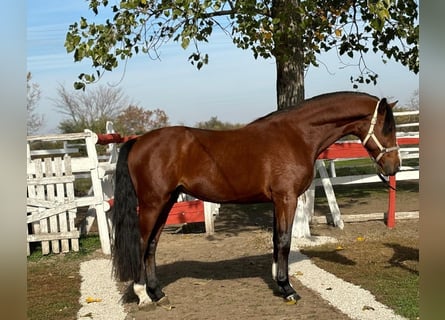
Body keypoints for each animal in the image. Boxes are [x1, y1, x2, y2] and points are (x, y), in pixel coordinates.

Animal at [110, 90, 398, 308]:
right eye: (386, 129)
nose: (394, 167)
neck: (296, 135)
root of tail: (138, 141)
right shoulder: (286, 198)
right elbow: (284, 240)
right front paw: (287, 288)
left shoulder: (277, 201)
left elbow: (276, 239)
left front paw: (278, 282)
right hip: (152, 203)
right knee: (141, 244)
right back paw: (142, 295)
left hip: (166, 203)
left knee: (152, 245)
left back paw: (157, 293)